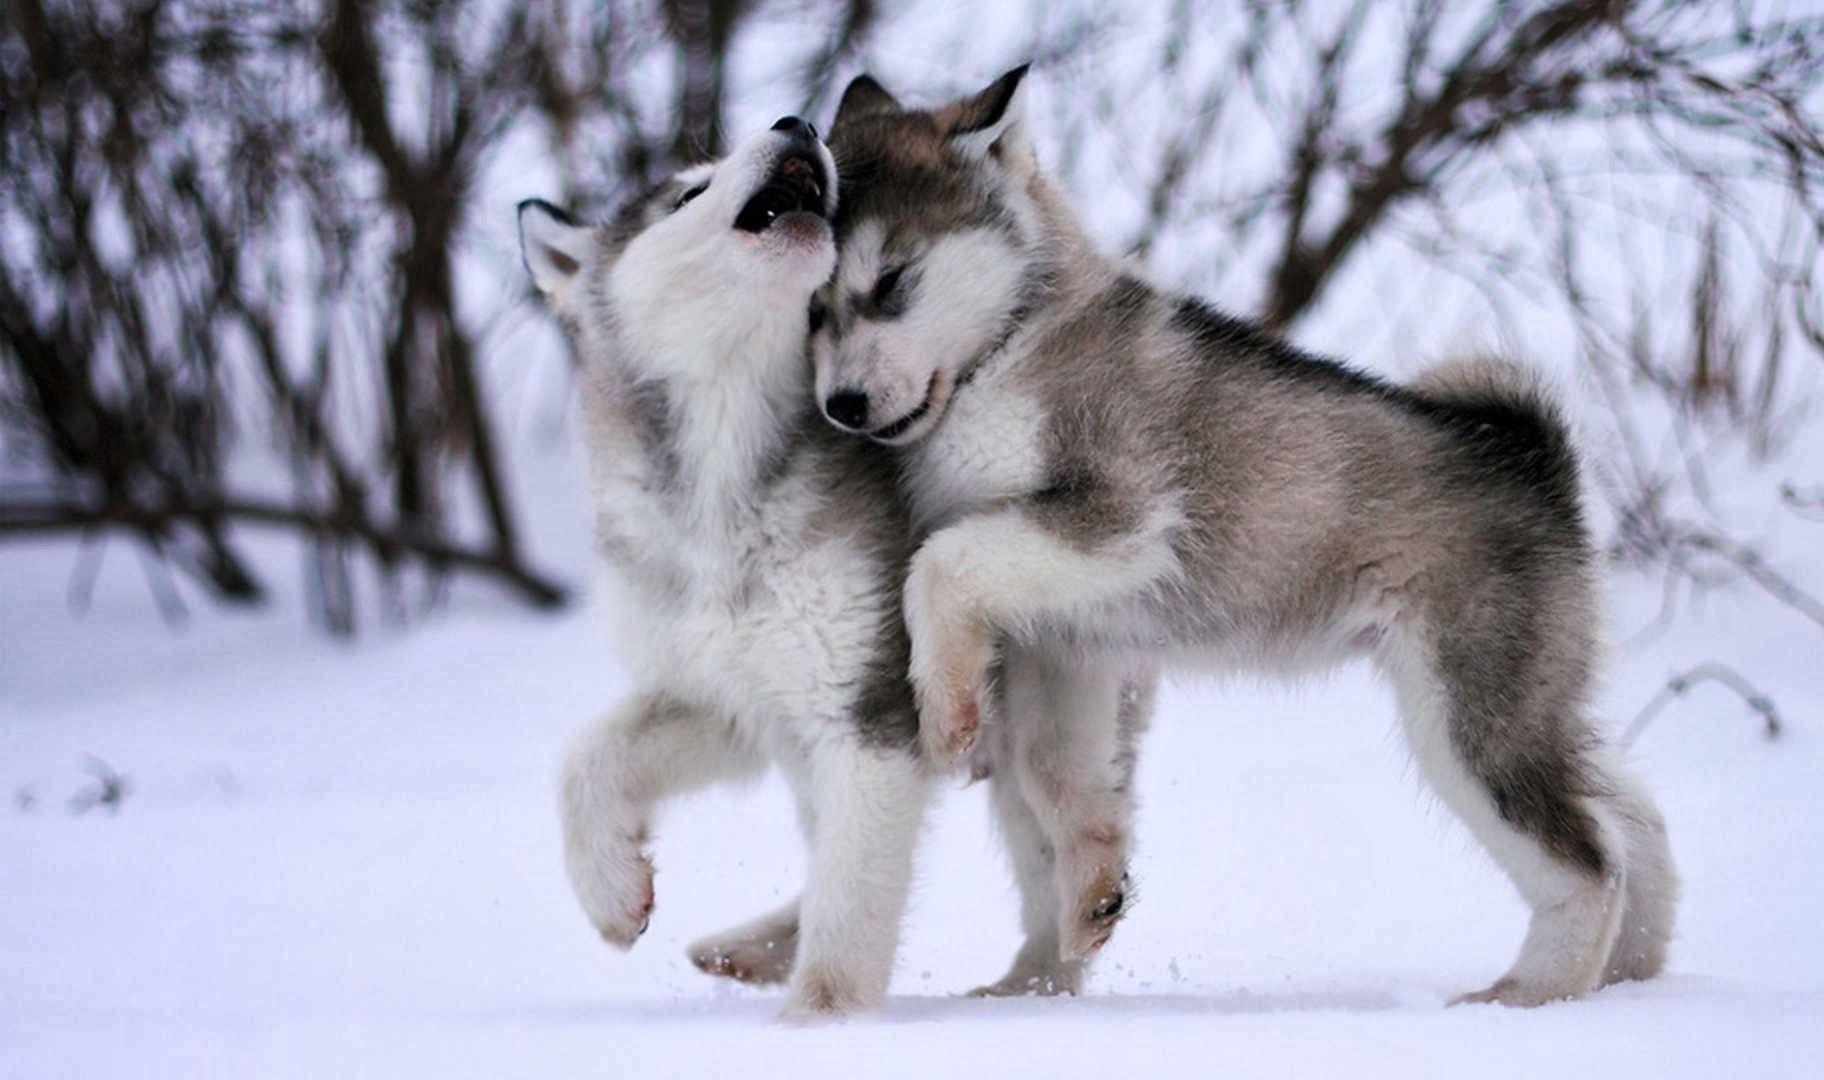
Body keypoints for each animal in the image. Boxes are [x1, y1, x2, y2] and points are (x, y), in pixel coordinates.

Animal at [521, 118, 933, 1021]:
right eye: (687, 192)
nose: (795, 123)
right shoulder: (727, 699)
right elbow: (585, 754)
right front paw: (610, 889)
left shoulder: (864, 715)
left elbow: (852, 901)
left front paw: (820, 1024)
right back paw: (751, 947)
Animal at [813, 71, 1678, 1007]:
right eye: (813, 309)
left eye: (891, 282)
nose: (841, 406)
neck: (1007, 346)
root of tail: (1535, 457)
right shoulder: (1061, 639)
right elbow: (1057, 771)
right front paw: (1088, 894)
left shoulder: (1121, 517)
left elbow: (939, 563)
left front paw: (945, 713)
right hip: (1530, 701)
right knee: (1631, 815)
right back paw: (1634, 972)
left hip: (1469, 713)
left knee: (1587, 862)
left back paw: (1527, 995)